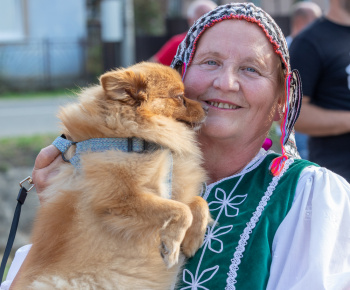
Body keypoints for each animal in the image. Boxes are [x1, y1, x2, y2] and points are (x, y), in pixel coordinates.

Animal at [14, 62, 211, 288]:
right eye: (179, 96)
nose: (207, 107)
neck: (134, 138)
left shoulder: (172, 188)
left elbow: (197, 202)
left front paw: (193, 239)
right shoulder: (120, 199)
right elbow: (181, 210)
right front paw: (171, 247)